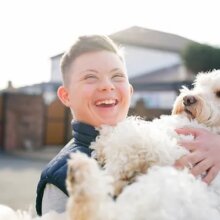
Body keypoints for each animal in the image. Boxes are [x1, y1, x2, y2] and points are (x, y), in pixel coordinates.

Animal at [1, 69, 220, 219]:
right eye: (197, 85)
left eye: (218, 92)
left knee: (93, 212)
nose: (188, 99)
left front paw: (104, 148)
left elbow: (128, 136)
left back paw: (80, 173)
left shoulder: (165, 145)